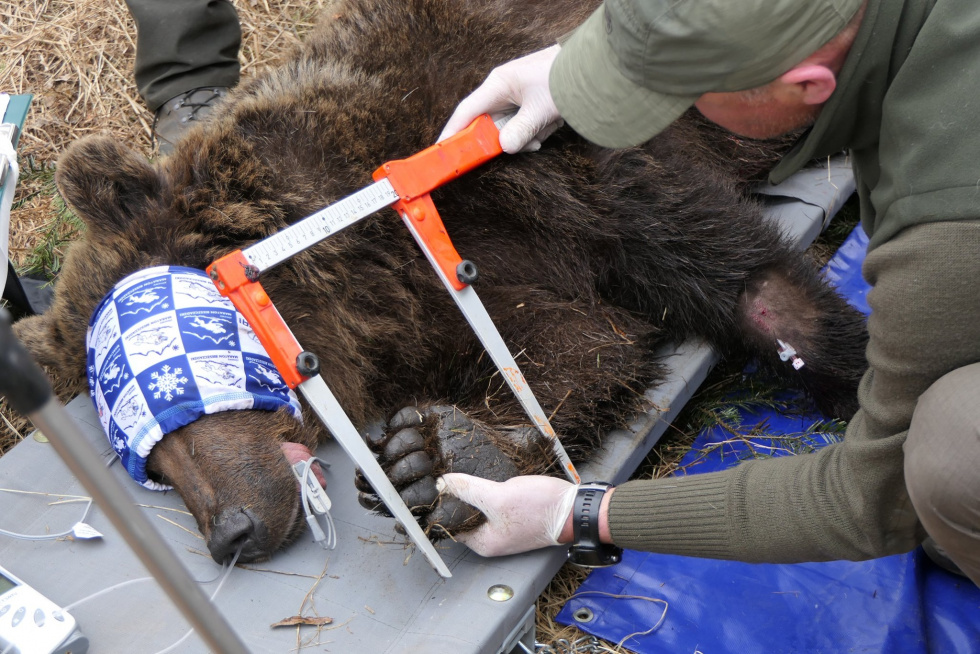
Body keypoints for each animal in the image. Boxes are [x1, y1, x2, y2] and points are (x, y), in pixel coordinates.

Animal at [9, 0, 864, 568]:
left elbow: (725, 266)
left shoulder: (567, 170)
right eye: (145, 460)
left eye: (174, 384)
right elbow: (576, 343)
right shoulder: (444, 298)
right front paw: (442, 458)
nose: (230, 533)